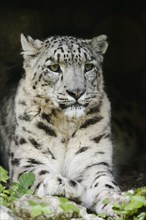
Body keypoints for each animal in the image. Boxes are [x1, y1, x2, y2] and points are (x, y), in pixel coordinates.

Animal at [0, 33, 125, 216]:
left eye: (88, 66)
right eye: (54, 67)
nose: (77, 92)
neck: (66, 125)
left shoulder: (93, 162)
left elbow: (104, 183)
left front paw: (117, 201)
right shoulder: (26, 160)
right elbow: (39, 173)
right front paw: (70, 187)